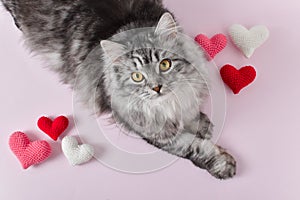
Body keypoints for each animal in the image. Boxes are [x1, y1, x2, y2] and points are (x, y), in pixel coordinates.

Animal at [1, 0, 237, 179]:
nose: (157, 87)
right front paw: (222, 164)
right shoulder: (153, 132)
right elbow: (192, 147)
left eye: (165, 64)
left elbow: (191, 114)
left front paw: (201, 123)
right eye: (137, 76)